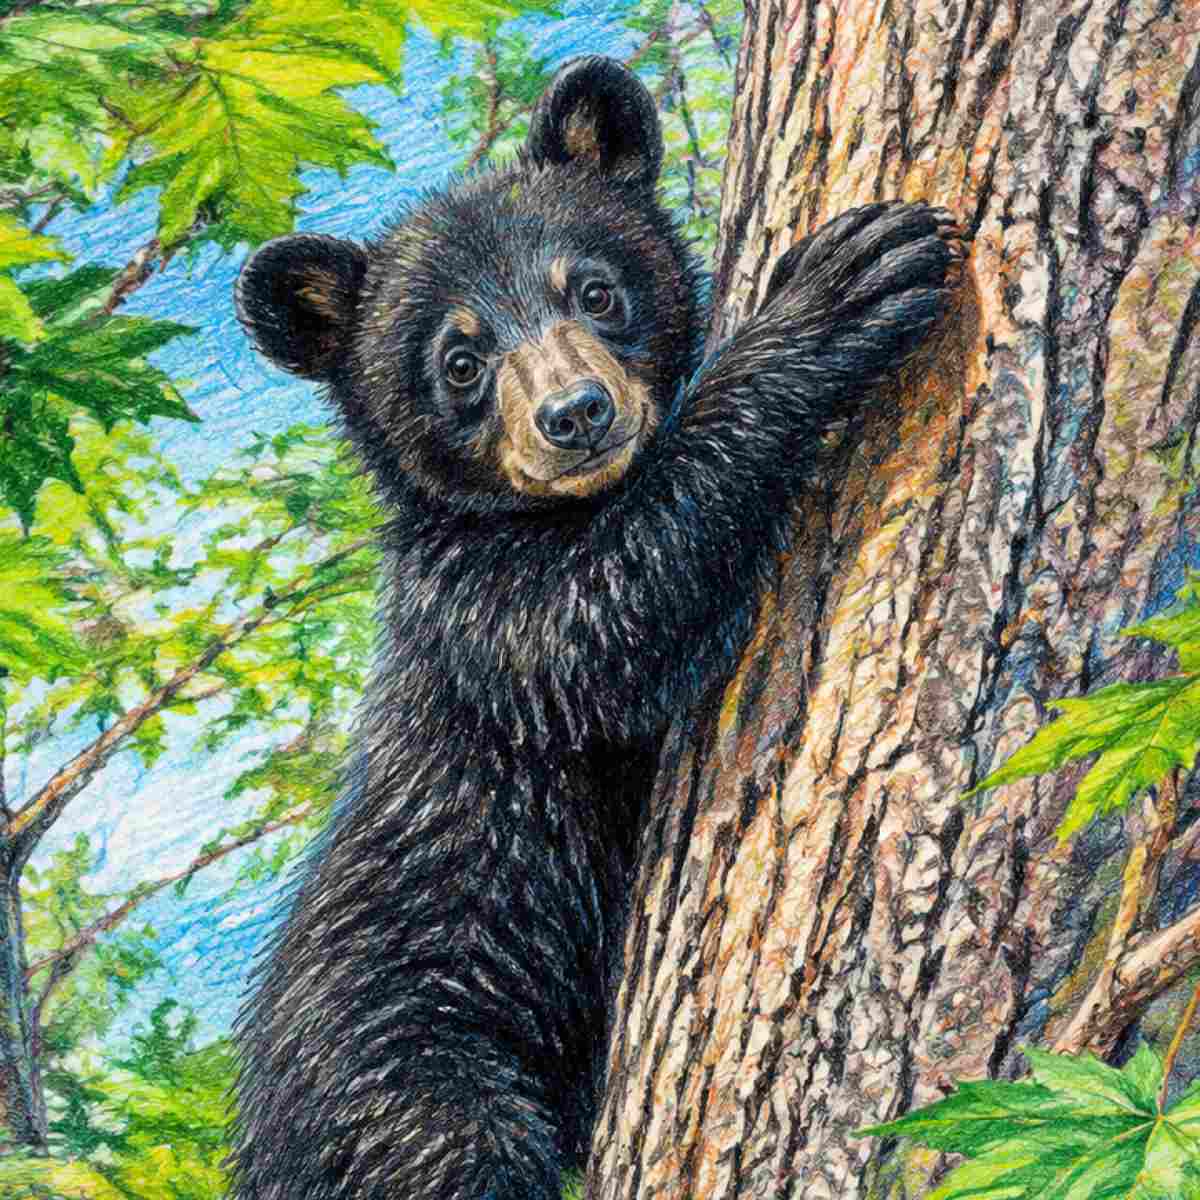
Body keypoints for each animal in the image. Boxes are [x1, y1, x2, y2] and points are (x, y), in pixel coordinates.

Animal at [229, 55, 963, 1200]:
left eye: (595, 290)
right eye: (460, 362)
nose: (575, 414)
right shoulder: (471, 607)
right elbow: (602, 623)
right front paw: (836, 297)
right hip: (402, 1089)